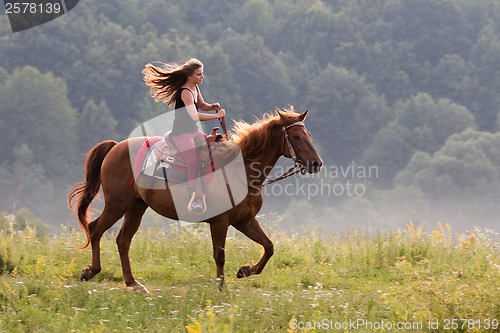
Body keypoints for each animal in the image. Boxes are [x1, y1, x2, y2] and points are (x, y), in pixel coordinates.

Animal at [68, 107, 322, 290]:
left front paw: (244, 270)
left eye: (309, 135)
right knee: (96, 229)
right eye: (296, 136)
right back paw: (90, 271)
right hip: (117, 204)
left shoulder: (244, 221)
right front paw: (221, 289)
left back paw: (133, 283)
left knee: (123, 240)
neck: (239, 171)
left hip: (136, 207)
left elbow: (269, 247)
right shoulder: (220, 222)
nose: (316, 163)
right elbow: (220, 255)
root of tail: (114, 147)